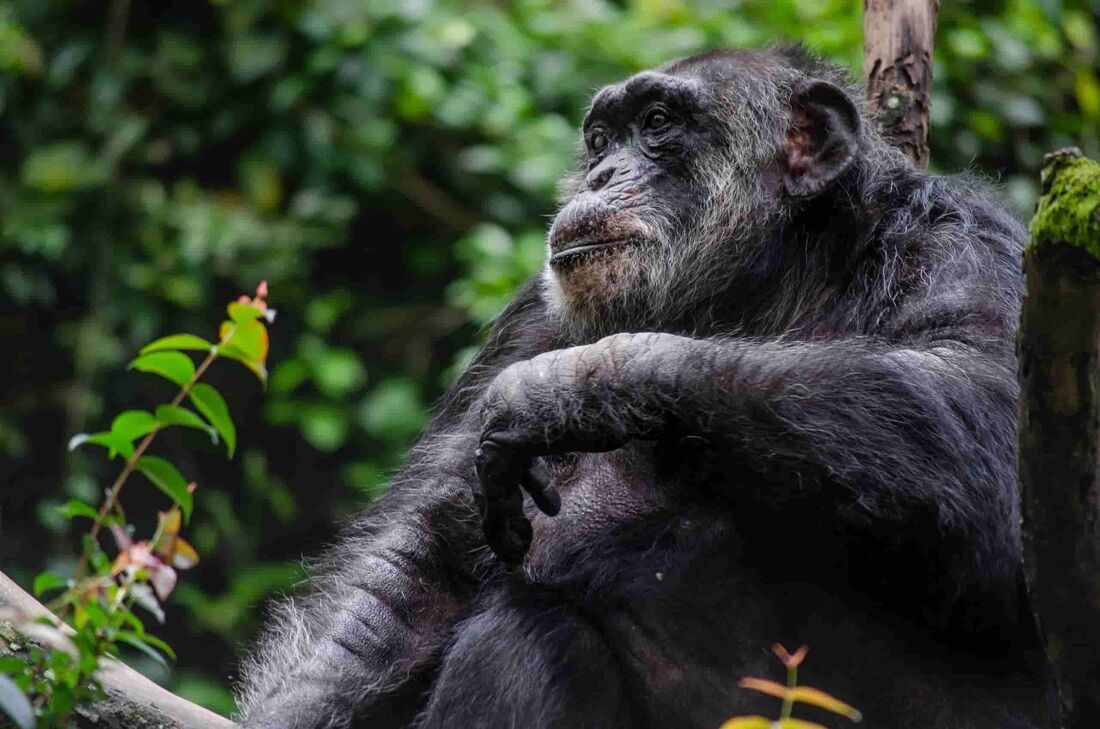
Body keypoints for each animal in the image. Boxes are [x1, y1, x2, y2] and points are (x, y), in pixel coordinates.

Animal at [243, 47, 1056, 729]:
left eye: (658, 124)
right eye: (602, 139)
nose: (598, 177)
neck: (769, 282)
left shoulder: (966, 247)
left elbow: (989, 433)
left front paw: (562, 389)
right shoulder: (532, 314)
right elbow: (419, 565)